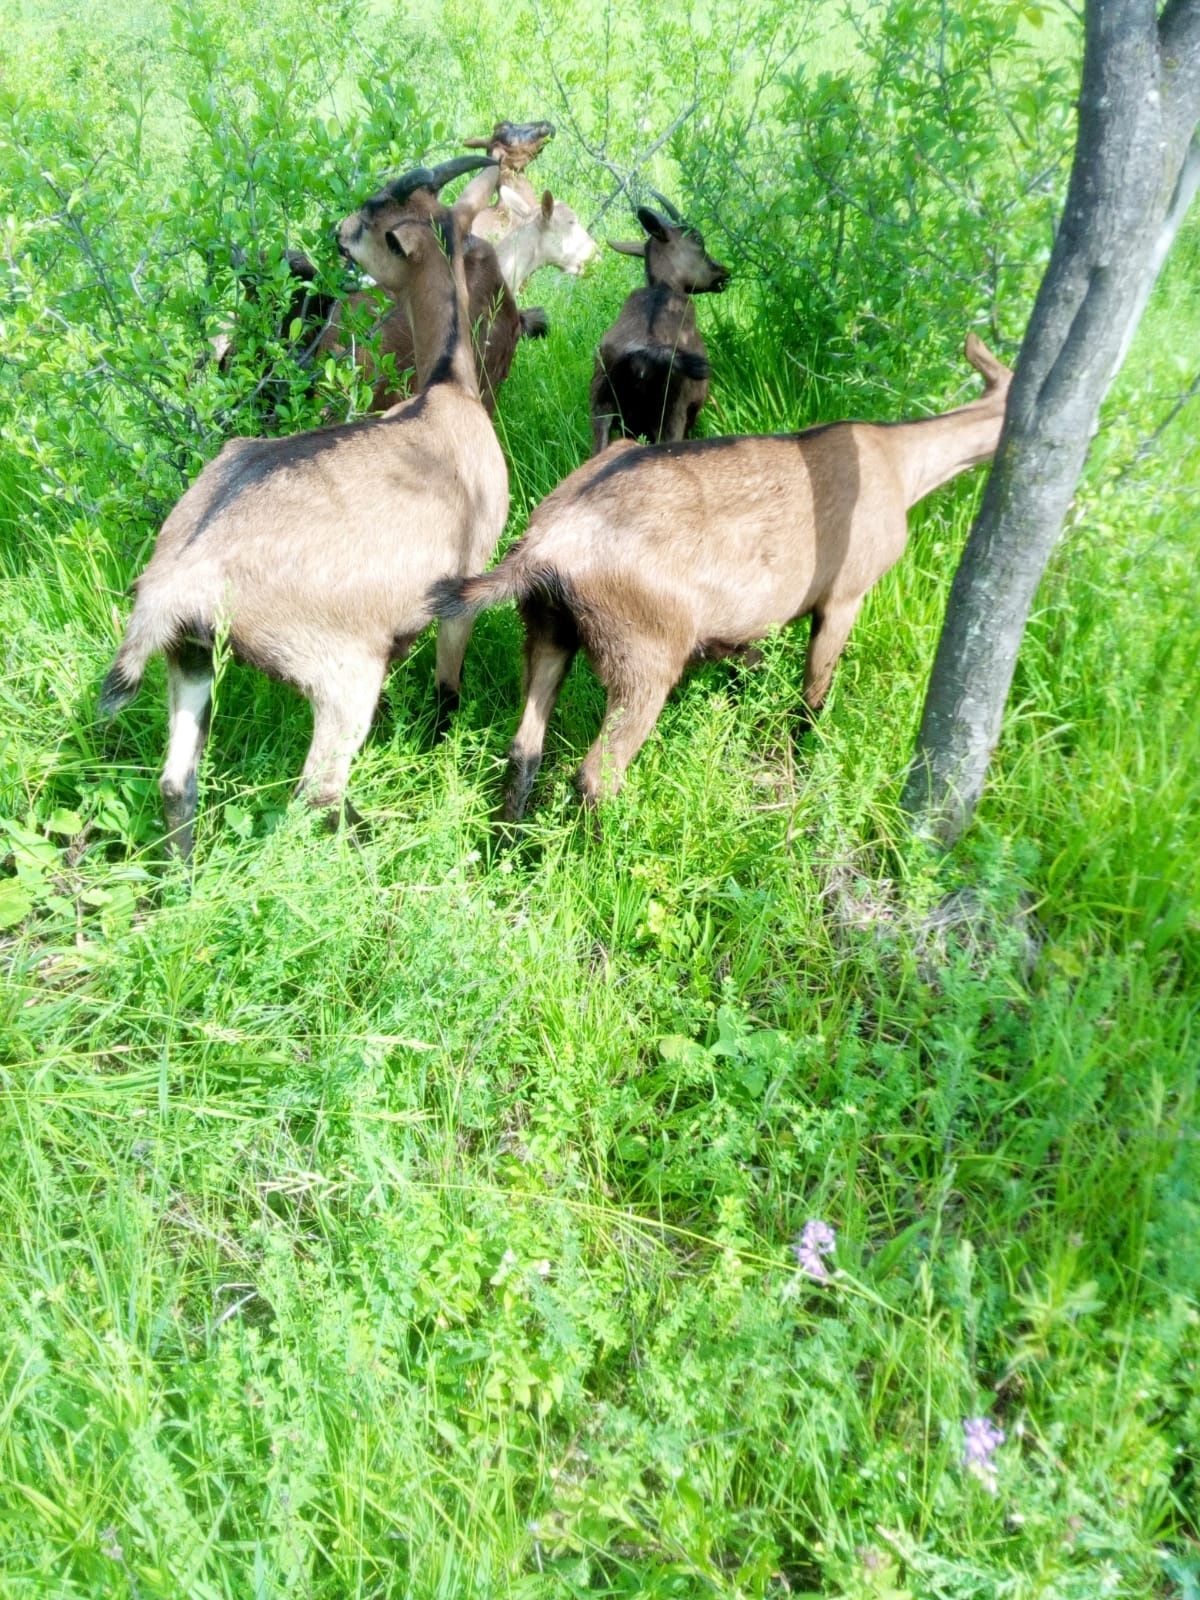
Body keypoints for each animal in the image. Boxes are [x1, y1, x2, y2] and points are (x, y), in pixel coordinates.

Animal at [103, 159, 512, 864]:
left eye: (371, 216)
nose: (335, 234)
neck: (445, 388)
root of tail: (176, 579)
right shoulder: (464, 582)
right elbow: (448, 683)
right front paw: (440, 743)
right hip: (339, 672)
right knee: (317, 792)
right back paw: (376, 849)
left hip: (190, 653)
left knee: (176, 782)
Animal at [432, 331, 1017, 819]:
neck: (902, 466)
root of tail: (545, 547)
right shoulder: (846, 593)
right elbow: (813, 696)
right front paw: (799, 765)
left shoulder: (738, 632)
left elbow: (748, 670)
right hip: (643, 657)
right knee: (597, 775)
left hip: (548, 629)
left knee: (524, 748)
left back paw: (508, 843)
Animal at [595, 198, 732, 457]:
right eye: (697, 239)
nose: (723, 272)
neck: (665, 287)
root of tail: (641, 359)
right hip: (670, 414)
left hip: (602, 407)